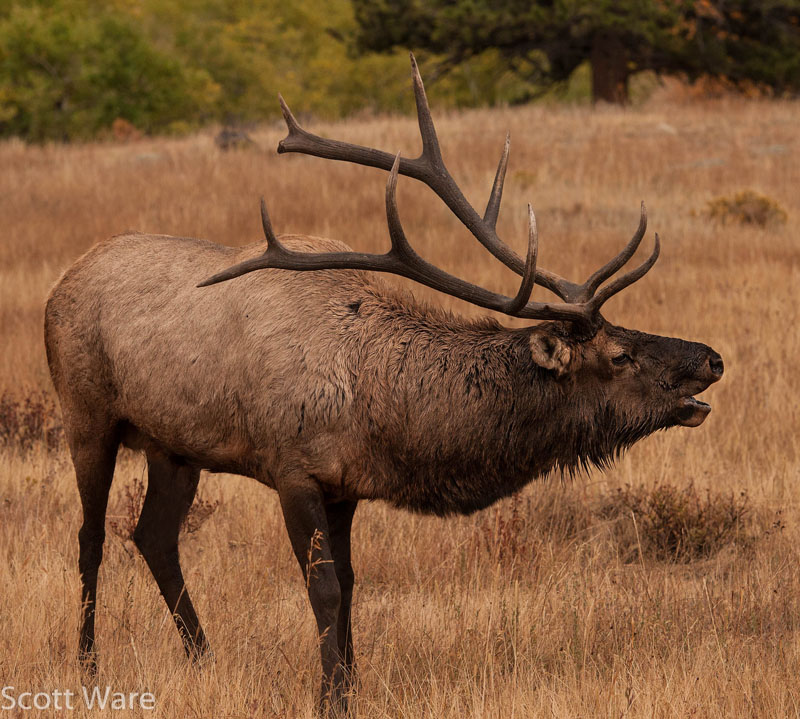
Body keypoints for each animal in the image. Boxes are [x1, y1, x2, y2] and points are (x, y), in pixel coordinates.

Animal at [45, 54, 723, 717]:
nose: (712, 358)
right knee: (91, 536)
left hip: (174, 447)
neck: (375, 403)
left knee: (154, 536)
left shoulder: (345, 487)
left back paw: (203, 658)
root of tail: (61, 283)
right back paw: (88, 665)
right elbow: (321, 588)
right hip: (86, 415)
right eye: (619, 354)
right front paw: (328, 697)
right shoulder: (292, 468)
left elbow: (349, 587)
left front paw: (351, 686)